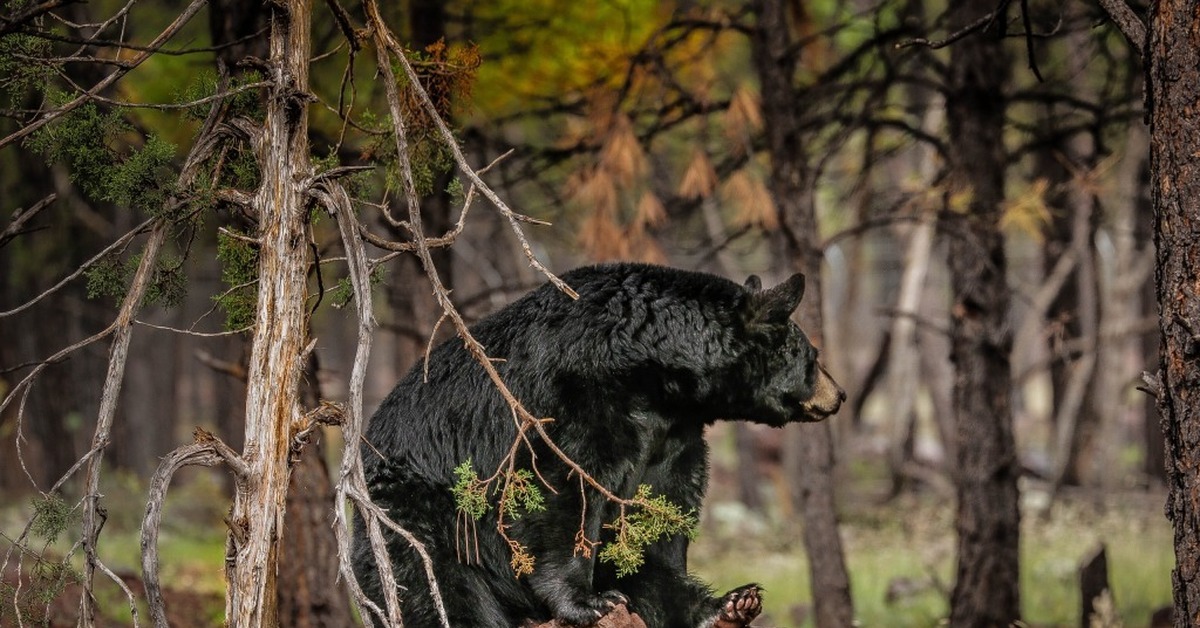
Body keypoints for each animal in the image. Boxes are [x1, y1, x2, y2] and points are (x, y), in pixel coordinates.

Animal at [355, 262, 844, 624]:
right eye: (814, 356)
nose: (838, 394)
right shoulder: (577, 399)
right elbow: (564, 490)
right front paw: (585, 602)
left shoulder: (673, 438)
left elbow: (657, 520)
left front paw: (709, 603)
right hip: (422, 518)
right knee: (439, 591)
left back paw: (730, 606)